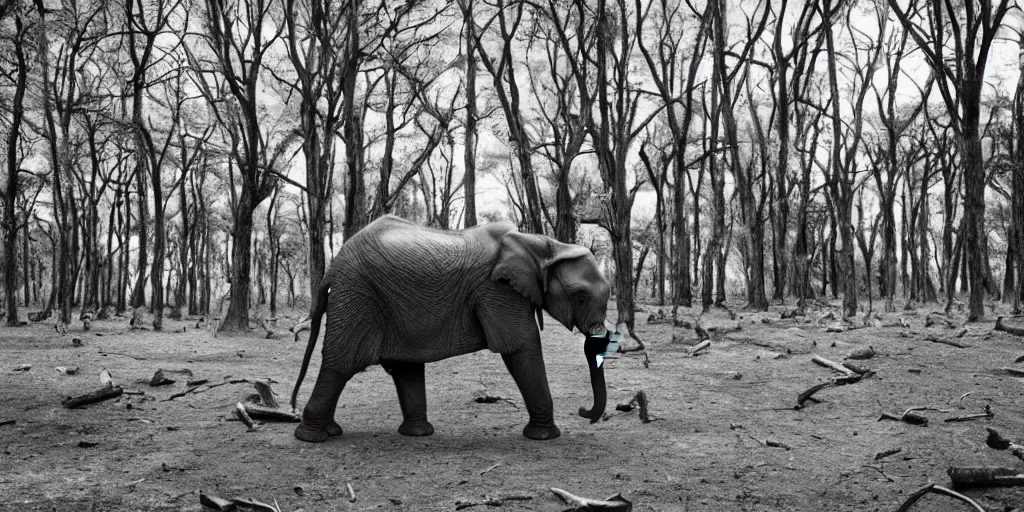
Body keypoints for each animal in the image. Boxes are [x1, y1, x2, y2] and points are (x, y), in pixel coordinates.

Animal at [288, 214, 610, 442]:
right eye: (581, 296)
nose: (585, 413)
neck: (544, 245)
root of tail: (334, 264)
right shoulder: (497, 290)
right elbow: (520, 346)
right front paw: (544, 437)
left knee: (404, 365)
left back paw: (407, 433)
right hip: (358, 295)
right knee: (341, 363)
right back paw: (312, 437)